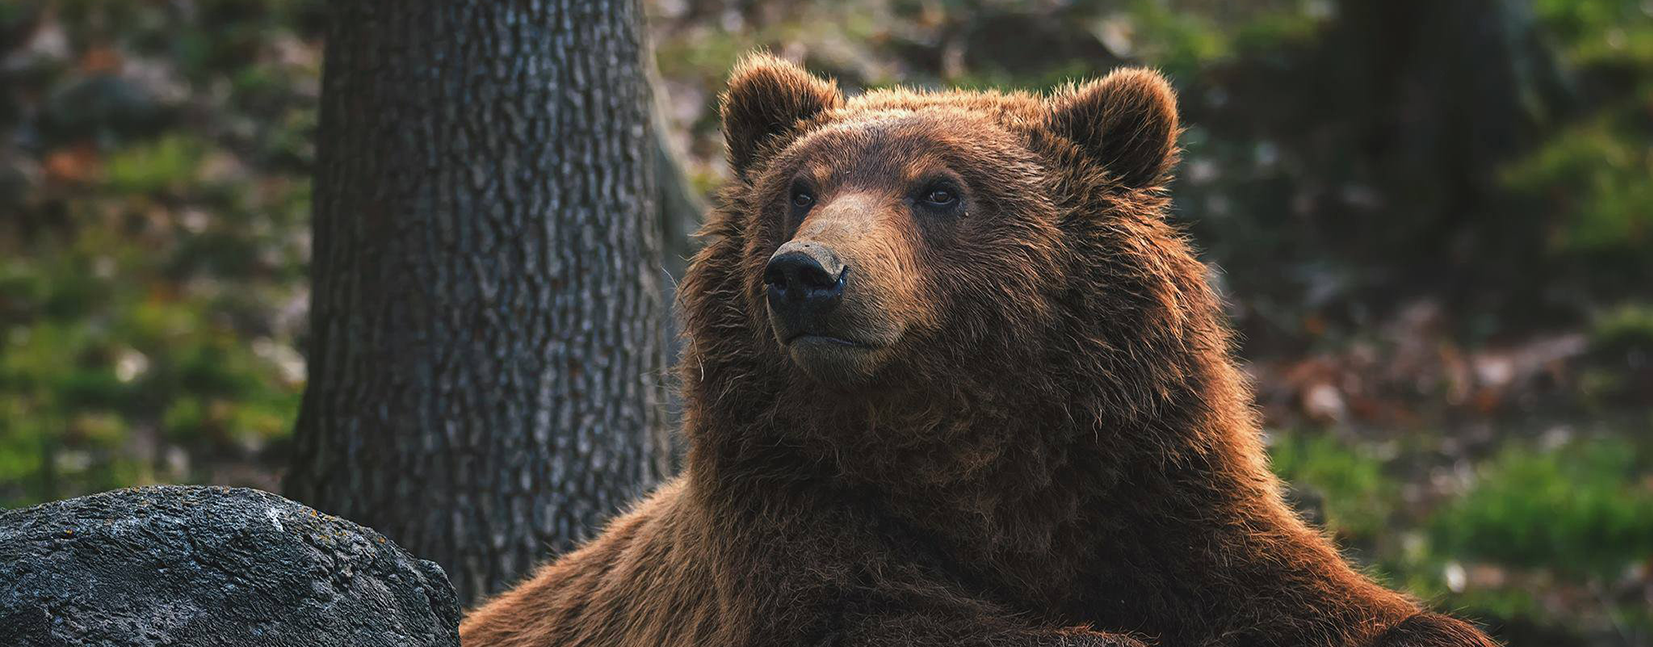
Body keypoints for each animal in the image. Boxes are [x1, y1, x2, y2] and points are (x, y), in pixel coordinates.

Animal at [459, 55, 1507, 647]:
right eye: (799, 187)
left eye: (939, 191)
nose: (805, 274)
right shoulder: (792, 507)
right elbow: (884, 614)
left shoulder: (1147, 477)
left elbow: (1301, 586)